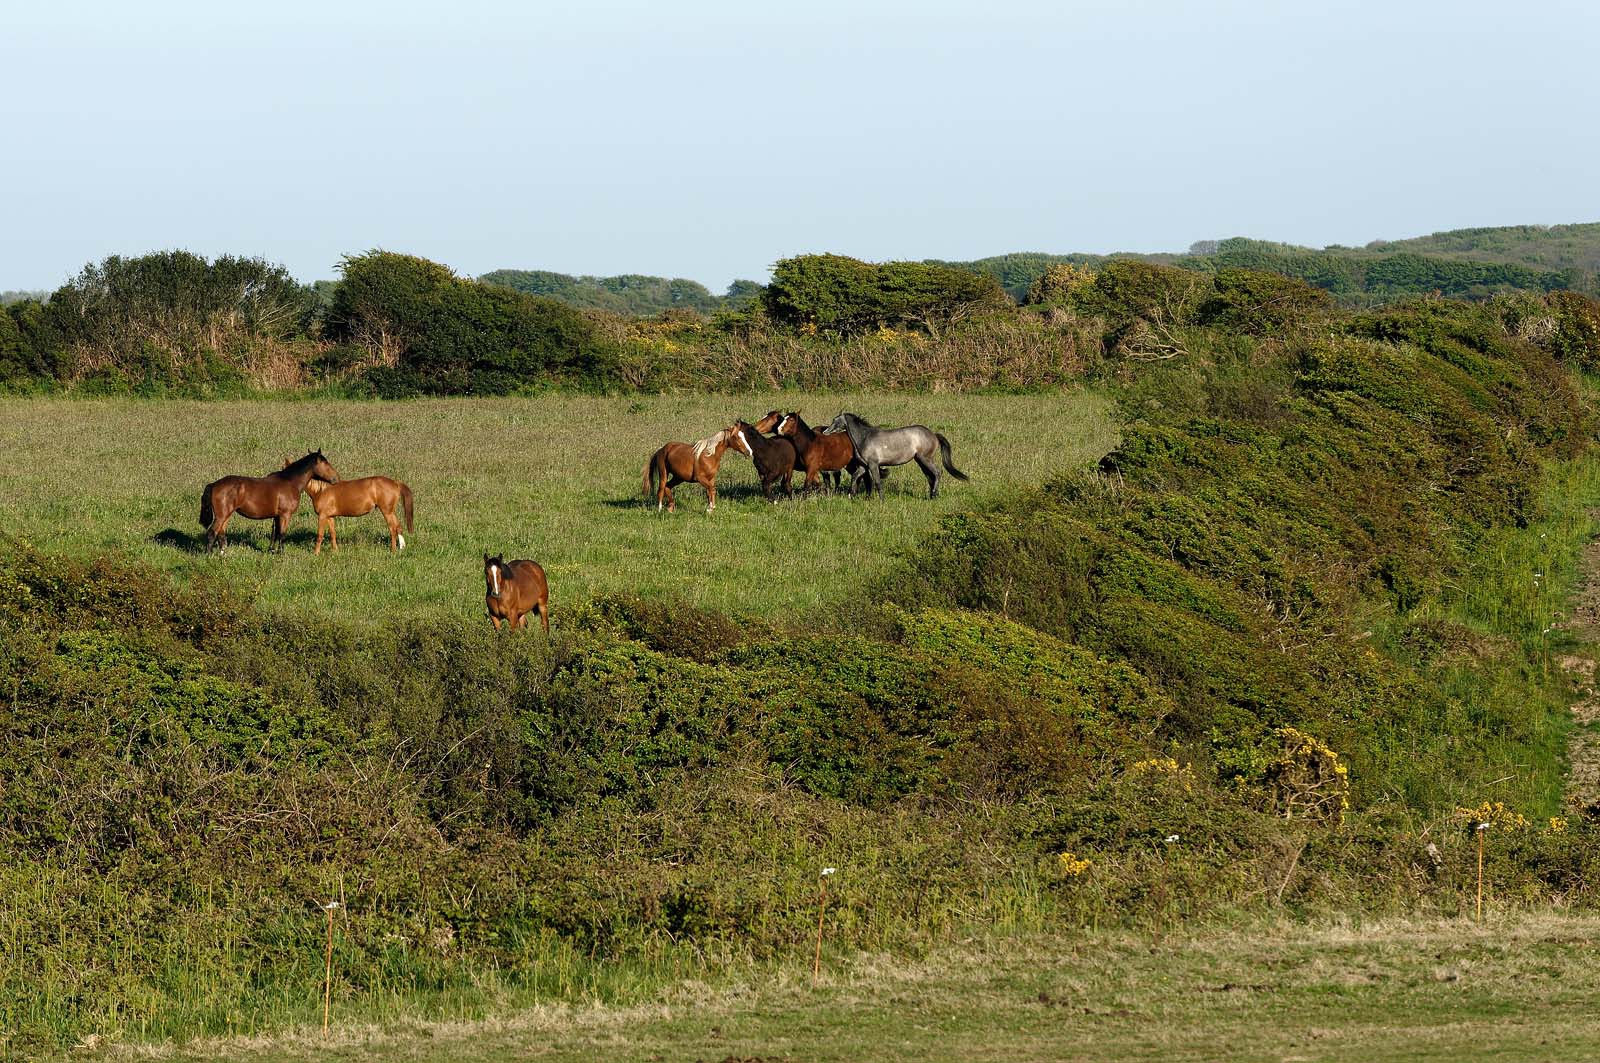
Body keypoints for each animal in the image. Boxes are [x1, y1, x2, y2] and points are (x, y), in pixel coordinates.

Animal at [199, 450, 339, 553]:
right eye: (326, 463)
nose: (336, 478)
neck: (290, 482)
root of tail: (214, 484)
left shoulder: (277, 516)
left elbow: (275, 533)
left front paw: (272, 550)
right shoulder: (285, 515)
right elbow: (282, 534)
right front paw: (281, 553)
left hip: (226, 515)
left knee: (221, 533)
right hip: (221, 516)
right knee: (212, 532)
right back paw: (209, 554)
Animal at [824, 413, 968, 499]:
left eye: (835, 421)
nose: (825, 431)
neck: (865, 438)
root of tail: (933, 434)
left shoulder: (873, 465)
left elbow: (877, 482)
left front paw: (881, 500)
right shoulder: (864, 466)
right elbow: (854, 477)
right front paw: (851, 494)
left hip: (925, 458)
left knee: (937, 473)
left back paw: (933, 494)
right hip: (920, 461)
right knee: (930, 476)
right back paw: (932, 496)